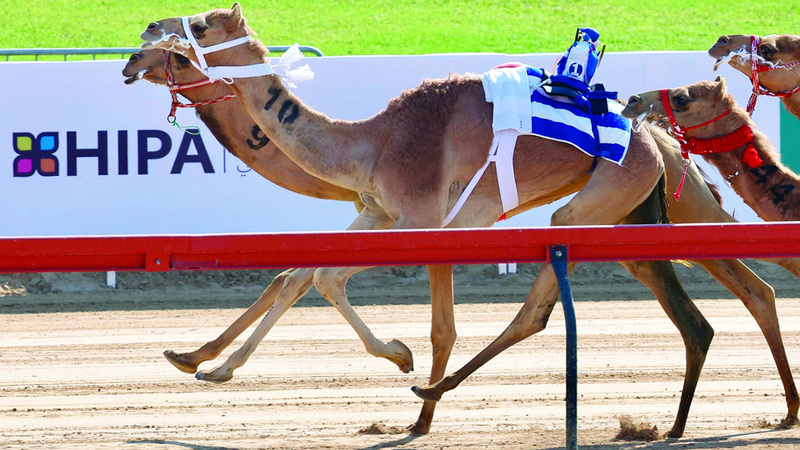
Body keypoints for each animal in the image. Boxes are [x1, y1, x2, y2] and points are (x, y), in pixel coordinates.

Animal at [138, 5, 768, 438]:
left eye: (198, 26)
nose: (145, 34)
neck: (372, 142)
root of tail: (651, 136)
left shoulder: (422, 219)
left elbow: (334, 282)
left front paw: (403, 364)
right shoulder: (379, 212)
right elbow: (302, 276)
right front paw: (207, 365)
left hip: (598, 199)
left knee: (542, 302)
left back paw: (436, 386)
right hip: (638, 212)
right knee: (727, 292)